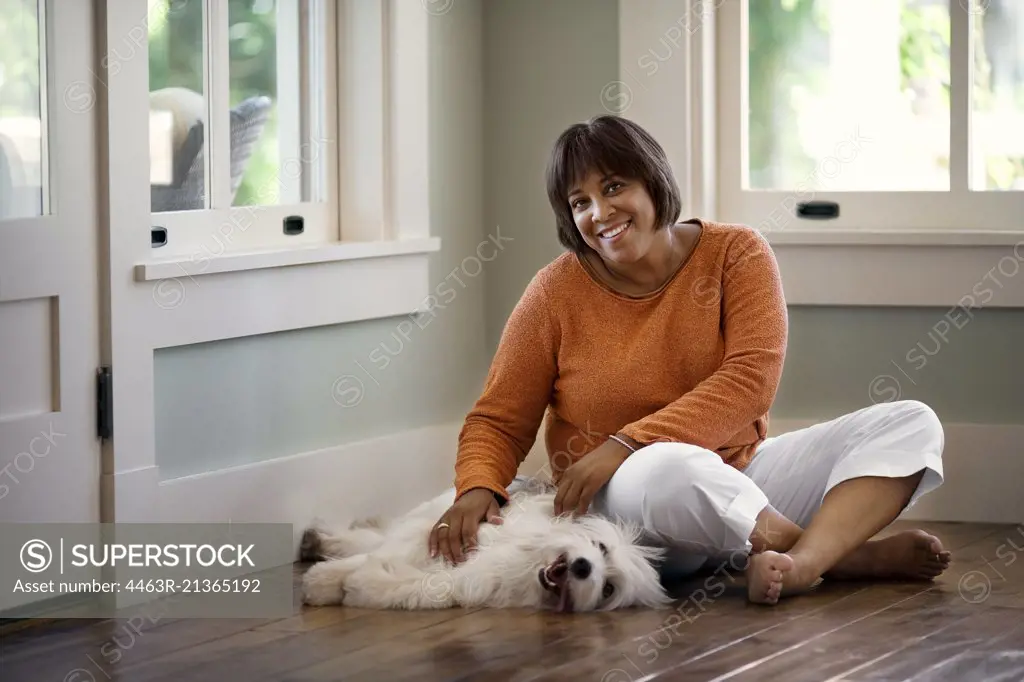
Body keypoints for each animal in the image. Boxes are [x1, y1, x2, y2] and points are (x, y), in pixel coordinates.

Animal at [301, 483, 671, 610]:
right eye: (600, 546)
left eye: (608, 589)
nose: (584, 567)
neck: (525, 564)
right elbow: (384, 553)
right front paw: (322, 581)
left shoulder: (466, 581)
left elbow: (422, 588)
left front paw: (356, 585)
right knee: (380, 537)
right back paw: (321, 541)